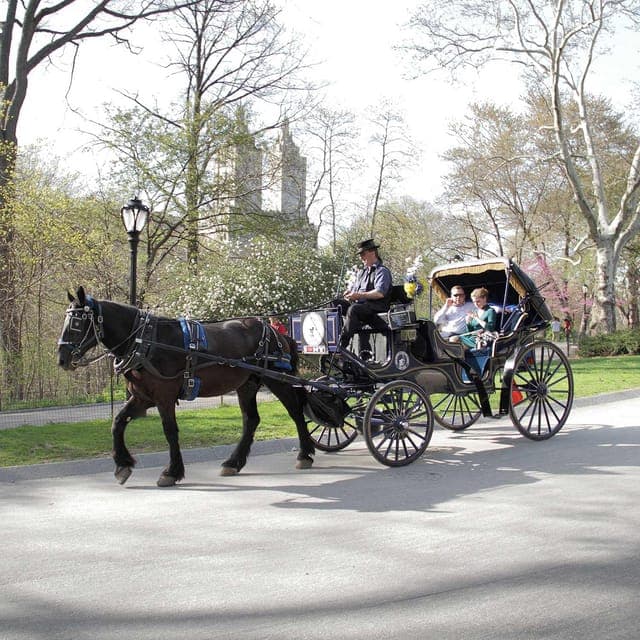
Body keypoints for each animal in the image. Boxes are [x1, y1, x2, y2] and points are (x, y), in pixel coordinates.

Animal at [57, 287, 315, 486]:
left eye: (77, 322)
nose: (62, 358)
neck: (145, 341)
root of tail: (275, 332)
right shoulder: (142, 397)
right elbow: (118, 422)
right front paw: (122, 465)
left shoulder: (164, 396)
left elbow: (170, 431)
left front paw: (171, 472)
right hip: (247, 385)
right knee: (251, 420)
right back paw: (233, 462)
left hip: (277, 379)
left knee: (295, 412)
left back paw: (305, 454)